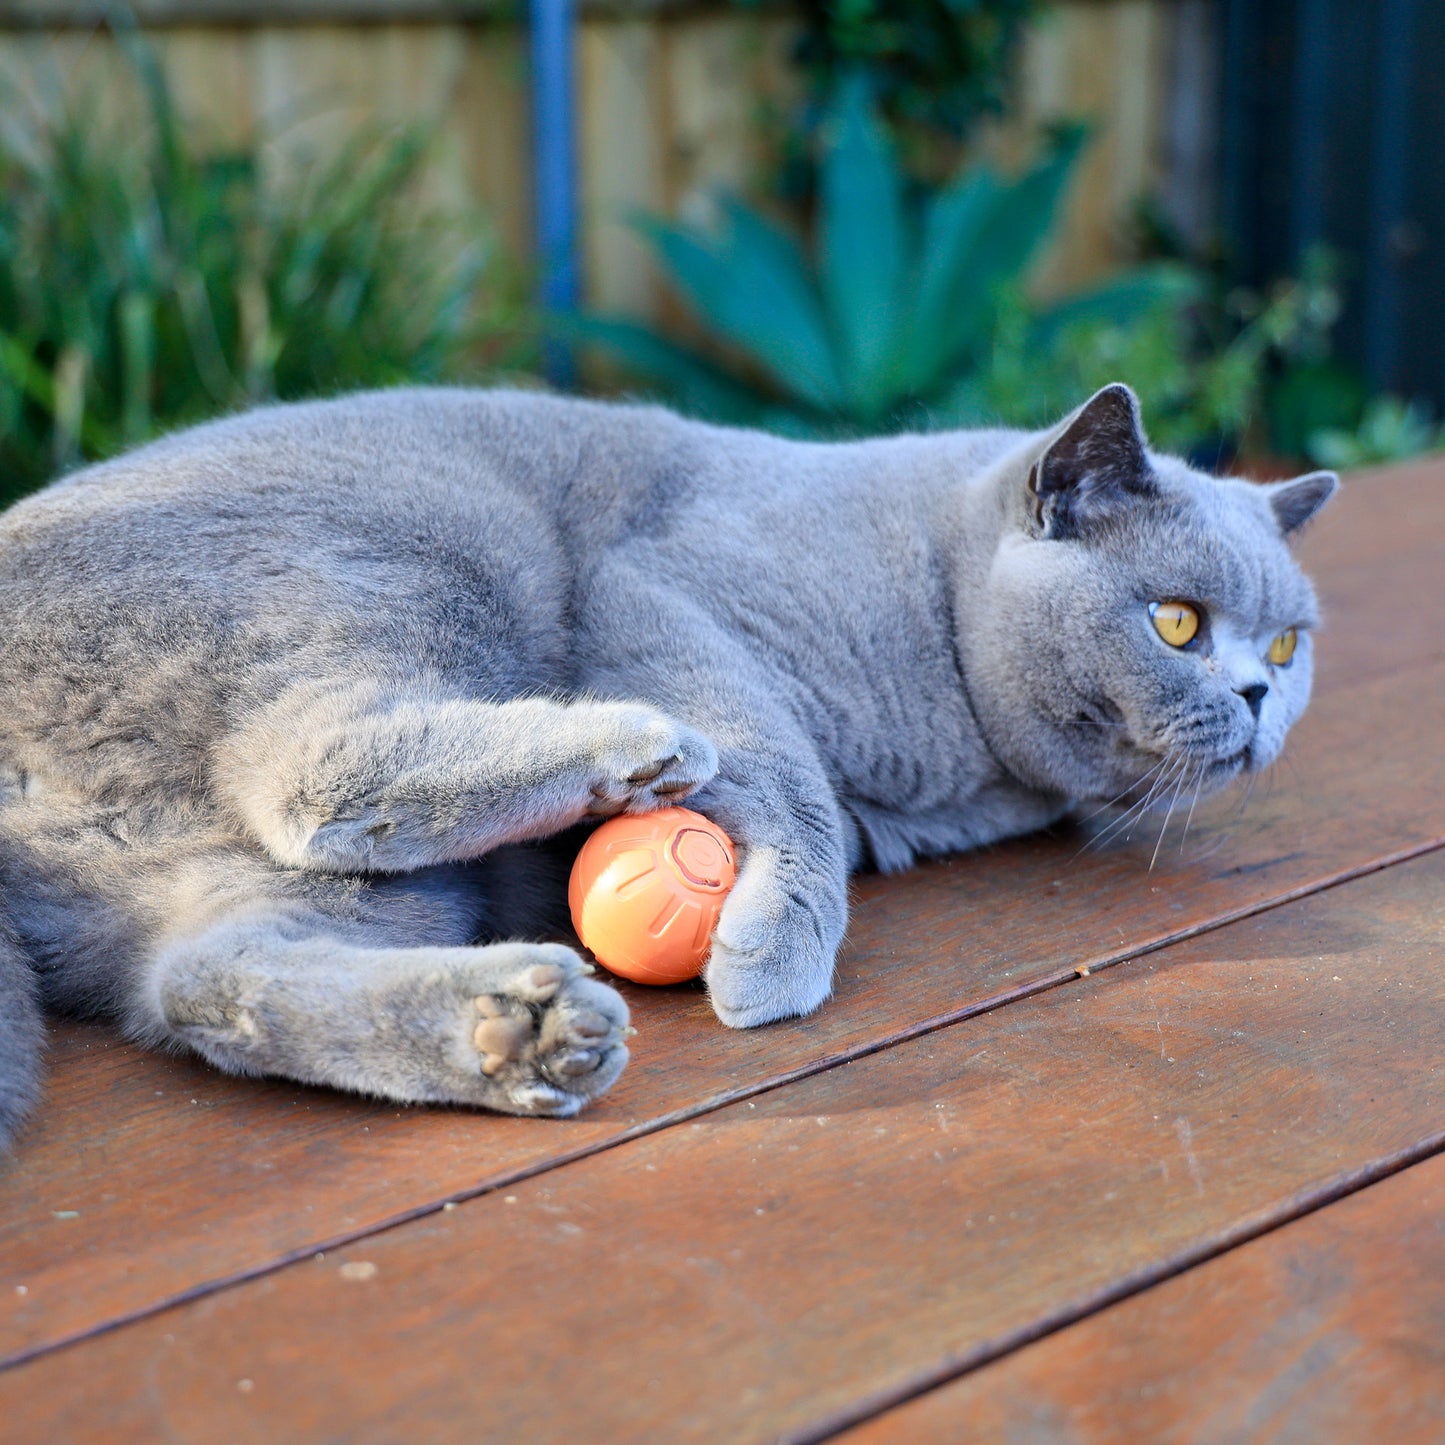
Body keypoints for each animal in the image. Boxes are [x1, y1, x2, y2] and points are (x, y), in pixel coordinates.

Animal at [0, 387, 1335, 1150]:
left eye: (1285, 642)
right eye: (1174, 622)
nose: (1258, 699)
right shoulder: (670, 591)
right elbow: (785, 773)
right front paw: (774, 951)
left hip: (288, 879)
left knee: (213, 980)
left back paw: (521, 1032)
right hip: (389, 561)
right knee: (312, 773)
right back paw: (625, 753)